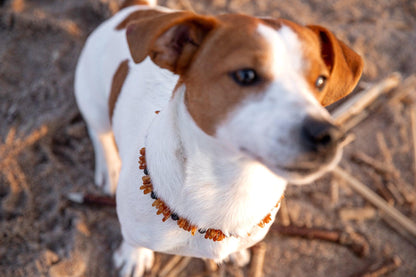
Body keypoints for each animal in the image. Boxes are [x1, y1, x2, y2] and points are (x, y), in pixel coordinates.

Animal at [75, 0, 364, 274]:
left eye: (320, 81)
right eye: (246, 75)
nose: (328, 135)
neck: (232, 182)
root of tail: (136, 10)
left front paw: (236, 253)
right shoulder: (135, 229)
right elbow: (133, 241)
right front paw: (133, 256)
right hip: (92, 101)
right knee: (99, 132)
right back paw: (109, 168)